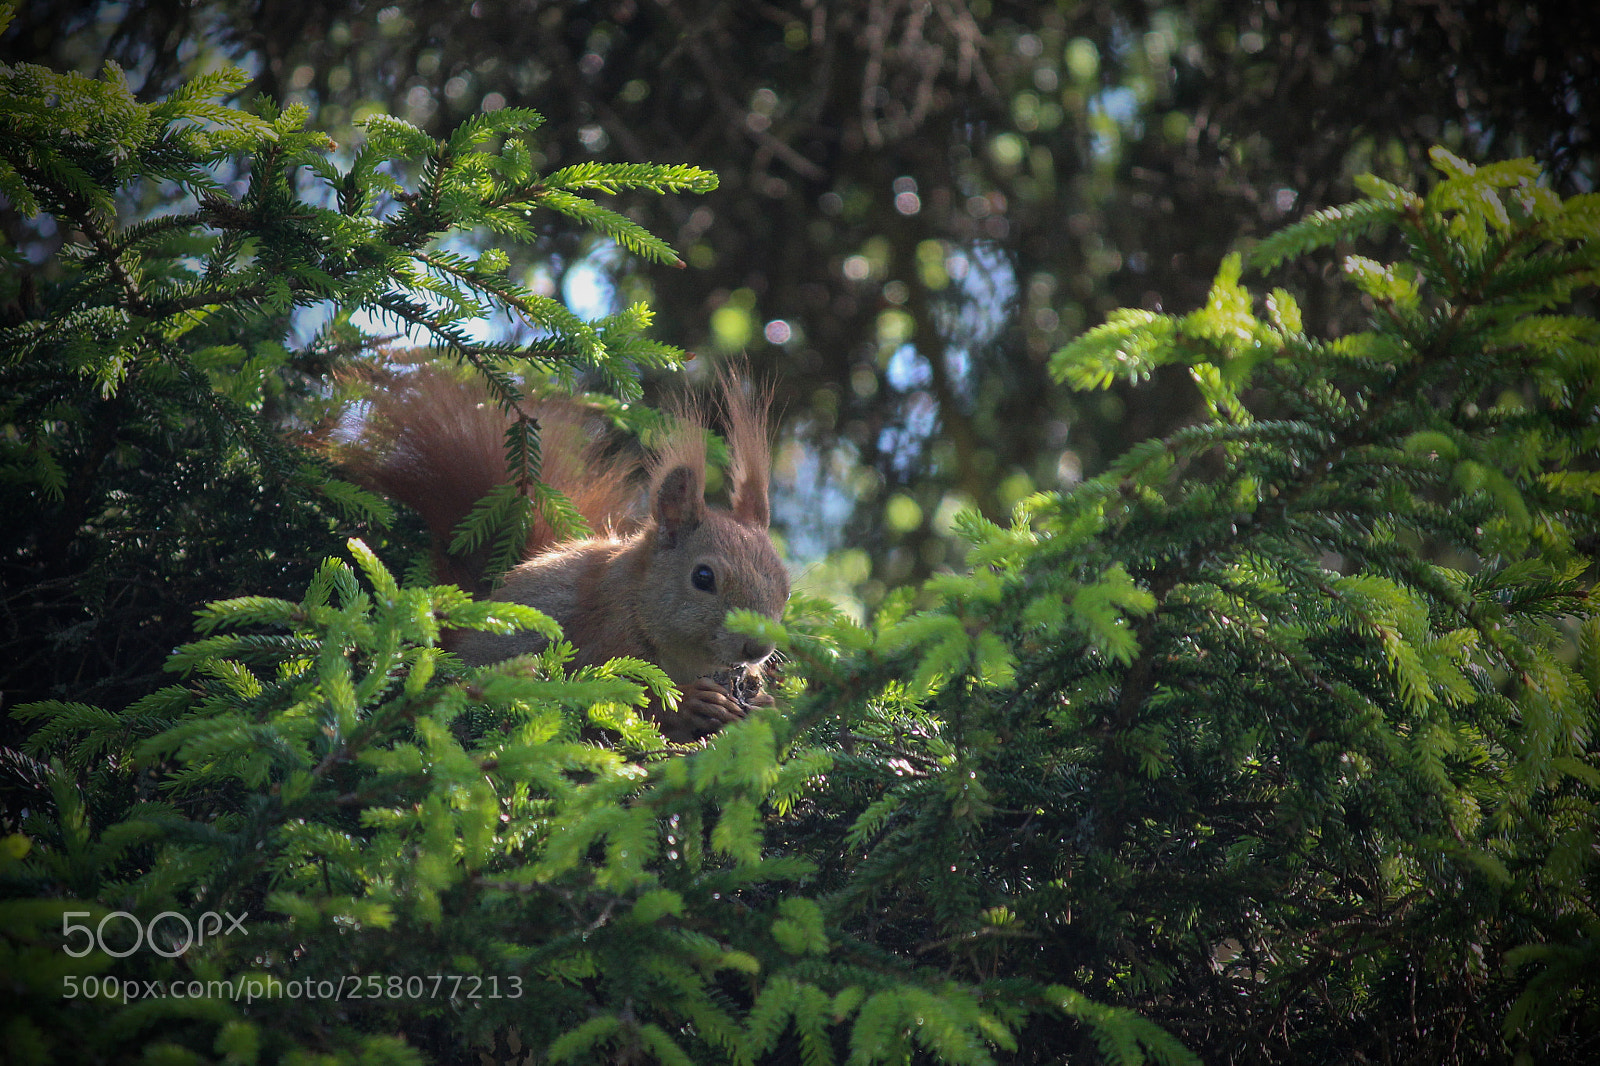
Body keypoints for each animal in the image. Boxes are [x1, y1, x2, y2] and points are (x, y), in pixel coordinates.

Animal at [346, 363, 790, 742]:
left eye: (785, 587)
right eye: (703, 578)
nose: (758, 649)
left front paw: (765, 703)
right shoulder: (602, 638)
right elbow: (617, 697)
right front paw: (692, 705)